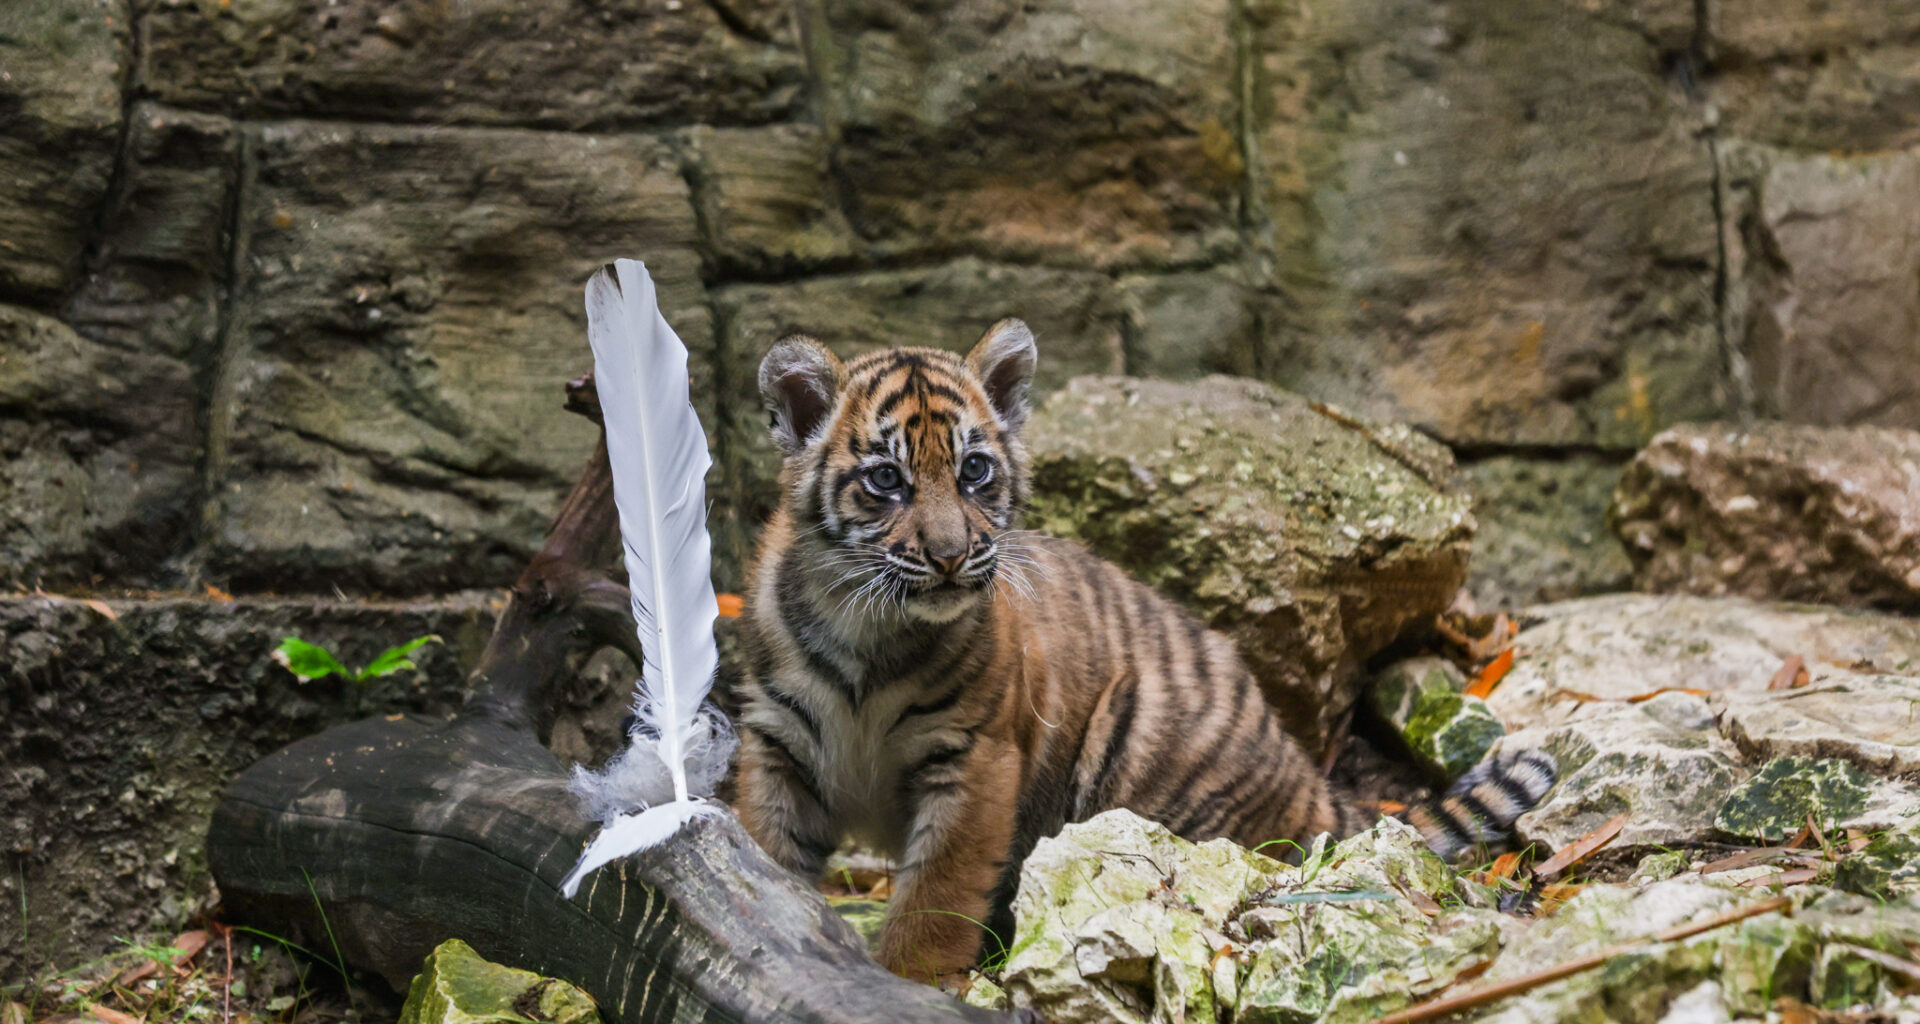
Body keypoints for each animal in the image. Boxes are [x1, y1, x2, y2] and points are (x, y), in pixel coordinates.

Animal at [730, 318, 1557, 984]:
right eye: (886, 480)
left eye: (974, 470)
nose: (951, 555)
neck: (867, 631)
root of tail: (1305, 776)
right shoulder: (779, 741)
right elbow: (767, 850)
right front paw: (774, 917)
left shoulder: (976, 756)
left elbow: (936, 892)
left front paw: (911, 980)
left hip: (1135, 753)